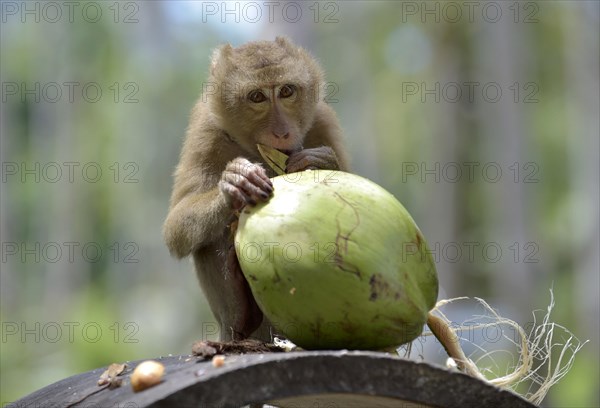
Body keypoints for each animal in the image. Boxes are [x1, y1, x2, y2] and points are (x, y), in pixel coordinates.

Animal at [164, 37, 352, 342]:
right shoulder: (205, 130)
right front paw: (235, 184)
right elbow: (176, 227)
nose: (281, 133)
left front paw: (322, 162)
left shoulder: (323, 119)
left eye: (286, 91)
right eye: (257, 97)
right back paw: (241, 313)